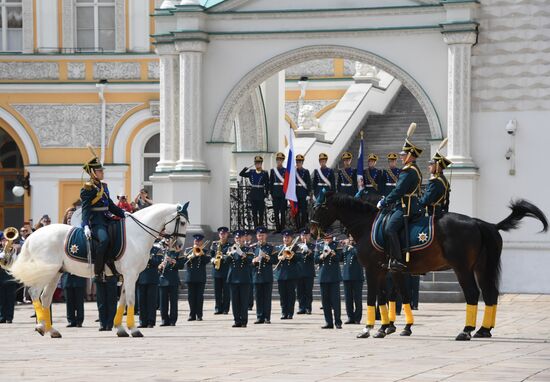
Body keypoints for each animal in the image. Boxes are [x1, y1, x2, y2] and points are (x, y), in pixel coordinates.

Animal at [1, 203, 190, 338]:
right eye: (181, 222)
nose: (179, 246)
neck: (136, 234)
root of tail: (32, 236)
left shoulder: (127, 276)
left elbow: (121, 301)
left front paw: (120, 328)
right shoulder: (131, 275)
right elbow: (130, 301)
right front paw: (134, 329)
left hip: (55, 273)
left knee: (45, 297)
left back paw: (51, 329)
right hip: (45, 272)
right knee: (34, 293)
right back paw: (41, 326)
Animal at [312, 194, 548, 340]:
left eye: (319, 207)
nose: (311, 230)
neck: (368, 225)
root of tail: (482, 223)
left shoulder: (373, 270)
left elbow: (373, 298)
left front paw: (368, 329)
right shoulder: (391, 270)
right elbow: (395, 297)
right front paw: (393, 327)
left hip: (463, 269)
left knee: (473, 294)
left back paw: (466, 331)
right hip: (482, 268)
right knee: (490, 294)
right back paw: (483, 330)